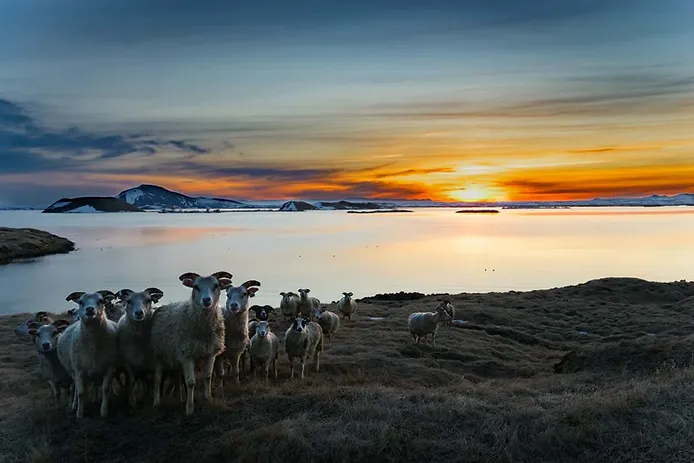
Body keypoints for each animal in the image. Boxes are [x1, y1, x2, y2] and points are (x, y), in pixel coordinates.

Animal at [150, 272, 231, 416]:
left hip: (176, 356)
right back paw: (156, 402)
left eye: (216, 286)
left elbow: (207, 377)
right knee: (158, 379)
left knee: (177, 377)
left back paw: (180, 398)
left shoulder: (210, 353)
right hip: (158, 354)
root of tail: (164, 307)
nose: (206, 300)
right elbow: (191, 383)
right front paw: (189, 408)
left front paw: (208, 399)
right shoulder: (187, 356)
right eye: (196, 287)